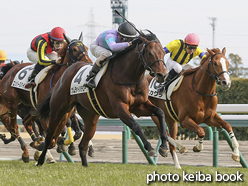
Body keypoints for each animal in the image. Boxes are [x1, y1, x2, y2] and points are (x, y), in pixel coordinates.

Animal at [0, 32, 92, 162]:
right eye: (74, 49)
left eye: (86, 48)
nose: (89, 63)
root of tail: (9, 71)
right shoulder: (46, 114)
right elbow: (52, 134)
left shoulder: (65, 113)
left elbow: (61, 132)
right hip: (12, 105)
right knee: (14, 126)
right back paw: (26, 152)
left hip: (32, 108)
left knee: (26, 122)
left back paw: (36, 143)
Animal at [36, 29, 171, 166]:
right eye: (149, 52)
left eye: (162, 52)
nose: (162, 75)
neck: (129, 76)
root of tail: (66, 73)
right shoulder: (120, 108)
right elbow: (137, 127)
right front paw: (150, 148)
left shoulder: (139, 106)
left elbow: (160, 113)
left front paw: (164, 147)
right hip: (59, 110)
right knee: (50, 136)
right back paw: (41, 160)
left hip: (89, 117)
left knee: (82, 145)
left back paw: (84, 165)